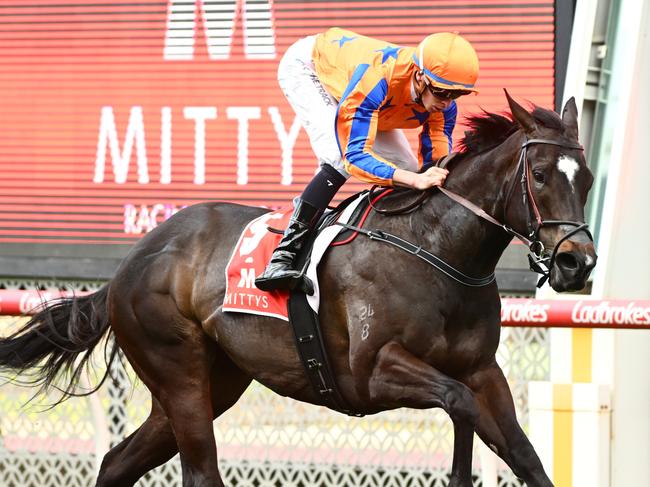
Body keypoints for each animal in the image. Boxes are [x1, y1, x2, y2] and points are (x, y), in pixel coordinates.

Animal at [0, 92, 596, 487]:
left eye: (586, 179)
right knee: (199, 472)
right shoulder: (372, 371)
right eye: (540, 174)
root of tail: (127, 266)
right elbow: (459, 404)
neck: (438, 249)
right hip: (178, 373)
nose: (578, 263)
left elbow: (524, 453)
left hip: (213, 382)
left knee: (115, 462)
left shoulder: (482, 370)